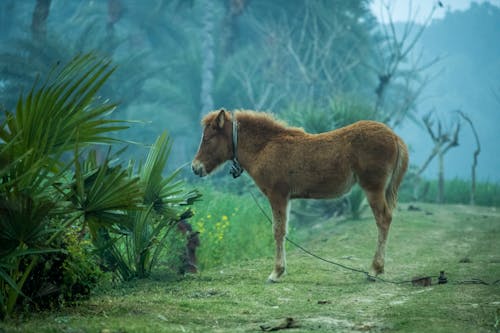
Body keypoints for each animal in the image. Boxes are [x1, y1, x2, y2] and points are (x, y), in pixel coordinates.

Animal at [190, 108, 406, 280]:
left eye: (208, 139)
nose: (195, 167)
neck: (265, 146)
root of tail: (395, 137)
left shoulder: (277, 195)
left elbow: (278, 231)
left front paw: (276, 272)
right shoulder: (286, 198)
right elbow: (283, 230)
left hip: (373, 188)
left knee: (383, 219)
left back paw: (375, 269)